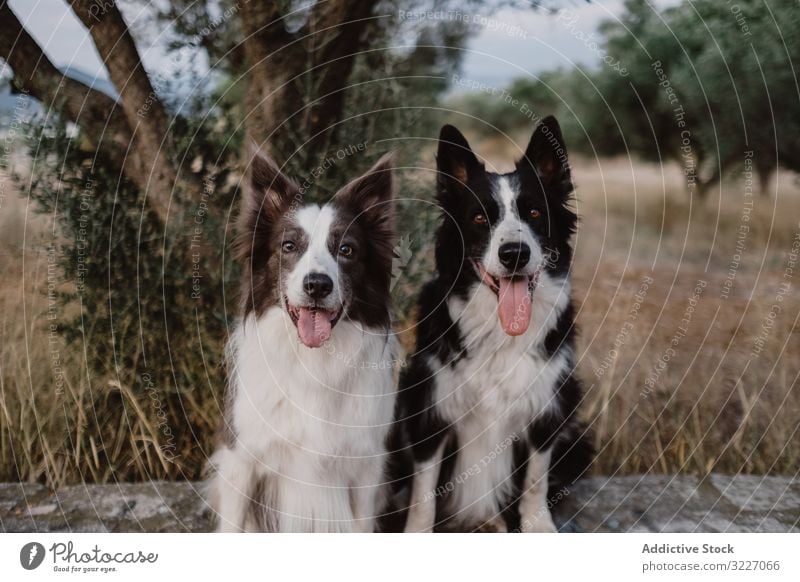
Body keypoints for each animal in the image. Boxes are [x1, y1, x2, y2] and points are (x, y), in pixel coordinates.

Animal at [209, 151, 396, 532]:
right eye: (289, 246)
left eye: (347, 249)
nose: (317, 285)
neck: (314, 361)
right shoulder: (241, 461)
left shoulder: (366, 470)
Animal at [396, 117, 592, 532]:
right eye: (478, 218)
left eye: (534, 213)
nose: (514, 254)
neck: (500, 333)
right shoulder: (431, 410)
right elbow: (423, 494)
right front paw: (417, 531)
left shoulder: (546, 407)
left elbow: (535, 480)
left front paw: (538, 525)